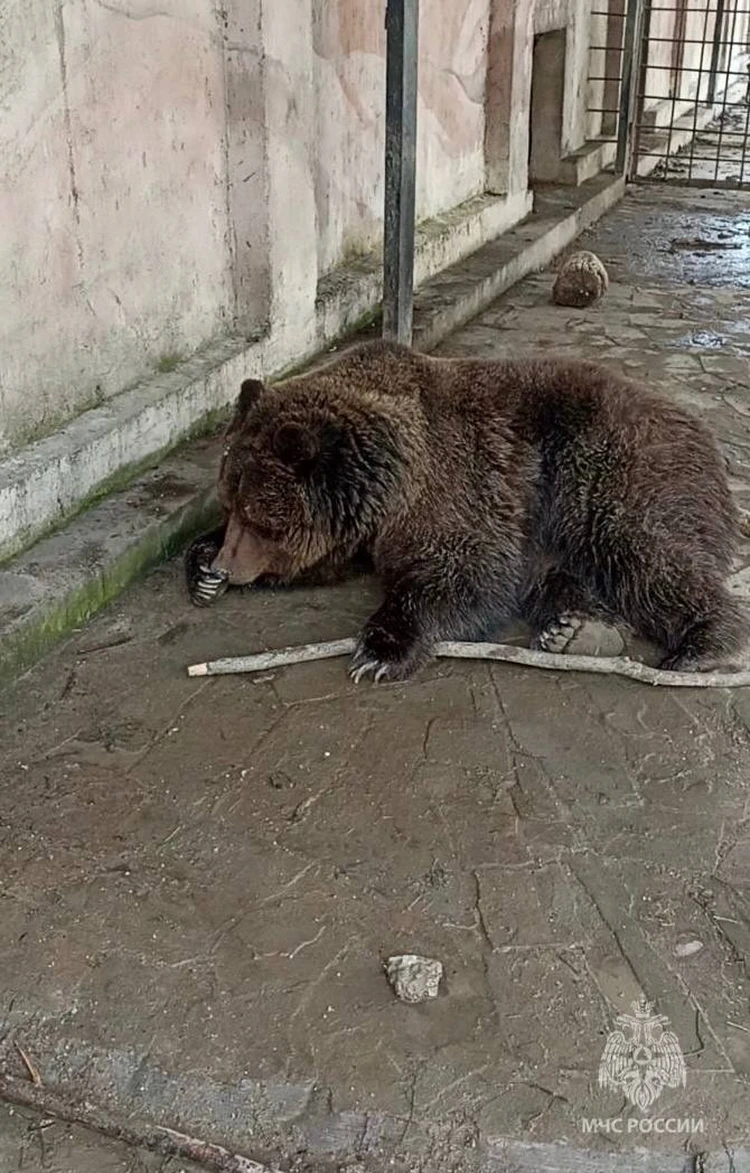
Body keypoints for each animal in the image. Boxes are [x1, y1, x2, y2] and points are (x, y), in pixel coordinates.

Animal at [185, 340, 746, 685]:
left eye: (260, 517)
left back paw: (702, 645)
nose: (227, 567)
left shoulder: (453, 482)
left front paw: (379, 651)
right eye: (231, 503)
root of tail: (702, 432)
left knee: (644, 550)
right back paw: (579, 630)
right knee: (564, 573)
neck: (389, 484)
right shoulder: (362, 528)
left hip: (611, 469)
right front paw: (201, 569)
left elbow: (465, 569)